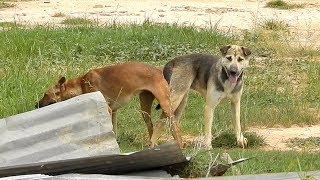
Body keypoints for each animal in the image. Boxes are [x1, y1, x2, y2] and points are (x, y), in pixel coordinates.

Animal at [35, 62, 182, 148]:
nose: (36, 105)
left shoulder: (108, 109)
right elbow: (113, 131)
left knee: (176, 127)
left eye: (46, 94)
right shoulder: (114, 111)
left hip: (166, 107)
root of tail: (159, 70)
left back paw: (180, 145)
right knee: (152, 128)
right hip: (145, 109)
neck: (82, 83)